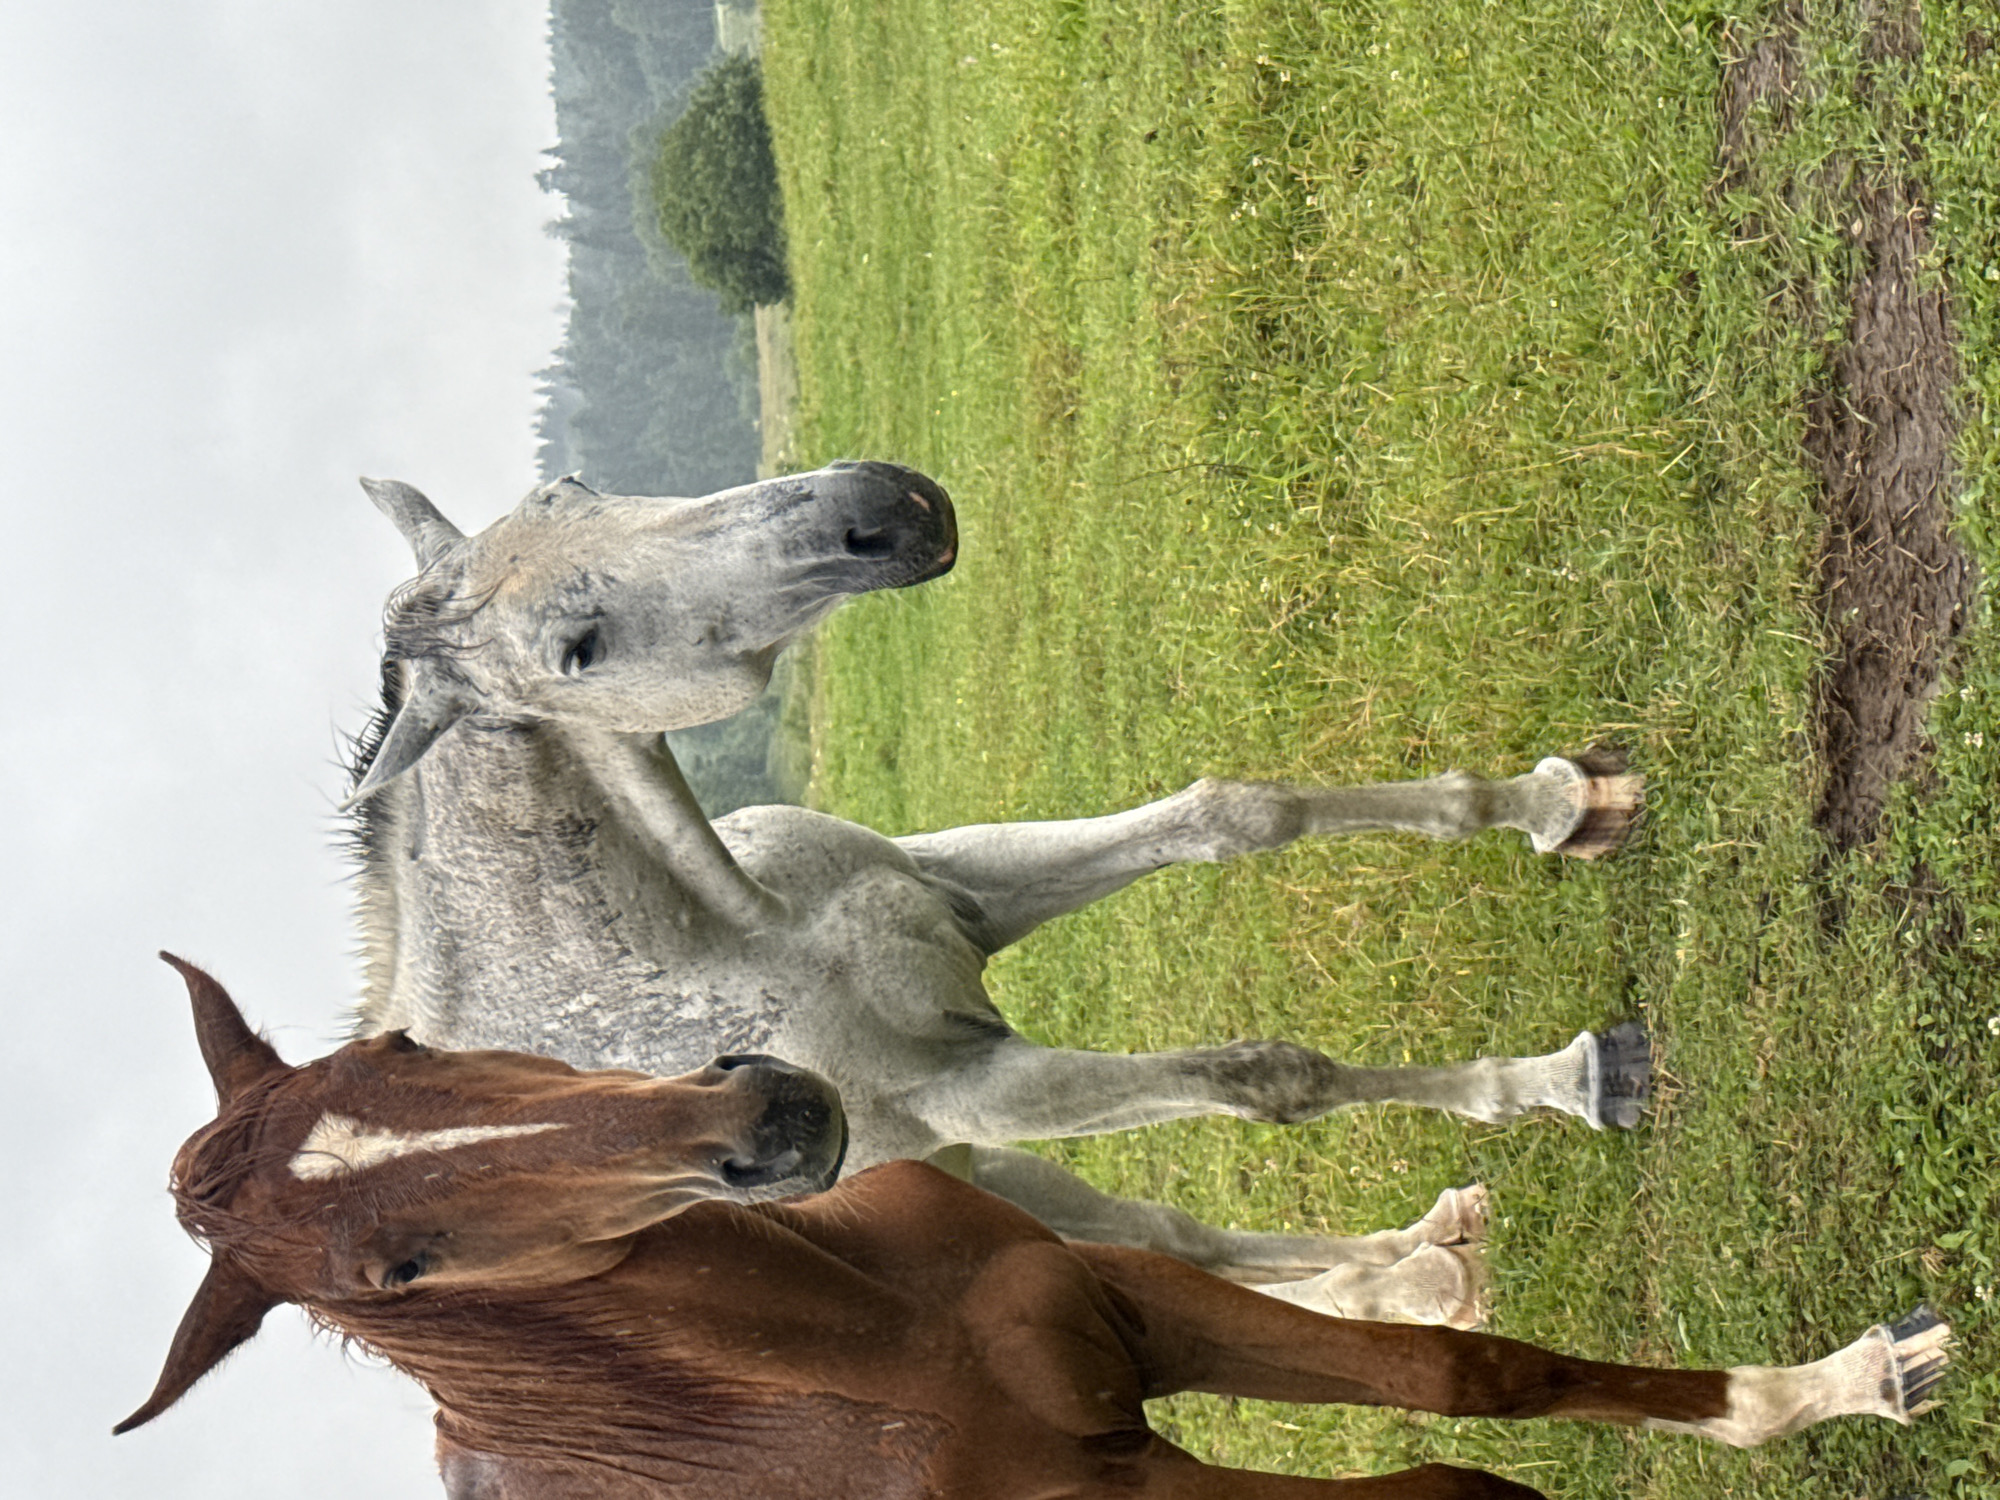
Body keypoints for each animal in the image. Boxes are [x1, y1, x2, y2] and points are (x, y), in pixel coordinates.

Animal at [120, 956, 1950, 1500]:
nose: (764, 1123)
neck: (874, 1359)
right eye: (394, 1272)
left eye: (399, 1046)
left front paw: (1833, 1387)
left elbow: (1472, 1386)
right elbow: (1456, 1487)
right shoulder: (1126, 1493)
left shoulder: (1124, 1310)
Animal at [338, 459, 1649, 1320]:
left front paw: (1564, 803)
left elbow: (1232, 816)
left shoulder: (960, 899)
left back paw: (1429, 1260)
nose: (877, 512)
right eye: (578, 652)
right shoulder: (980, 1088)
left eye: (569, 486)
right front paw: (1576, 1077)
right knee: (1175, 1258)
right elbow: (1270, 1080)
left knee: (1175, 1241)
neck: (729, 940)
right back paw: (1422, 1282)